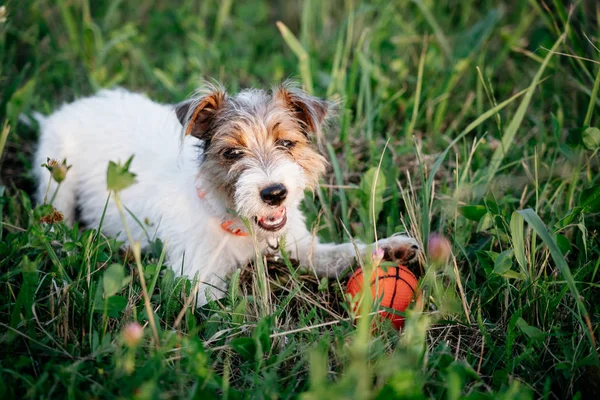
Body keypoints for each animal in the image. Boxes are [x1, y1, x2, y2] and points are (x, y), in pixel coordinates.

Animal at [35, 83, 420, 304]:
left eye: (286, 143)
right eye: (232, 153)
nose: (274, 193)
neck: (237, 225)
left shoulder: (299, 245)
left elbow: (342, 251)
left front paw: (391, 248)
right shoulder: (198, 283)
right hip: (57, 175)